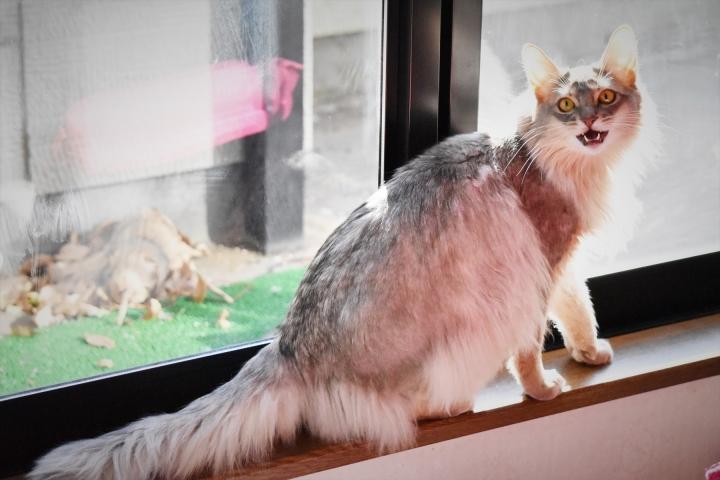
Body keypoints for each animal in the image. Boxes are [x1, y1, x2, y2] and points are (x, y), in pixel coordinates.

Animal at [31, 25, 649, 479]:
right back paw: (453, 405)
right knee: (413, 410)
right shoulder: (538, 269)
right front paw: (545, 389)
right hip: (464, 337)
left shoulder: (563, 268)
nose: (591, 122)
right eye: (566, 105)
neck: (557, 162)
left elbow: (579, 312)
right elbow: (532, 349)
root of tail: (290, 347)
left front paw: (591, 355)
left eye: (606, 97)